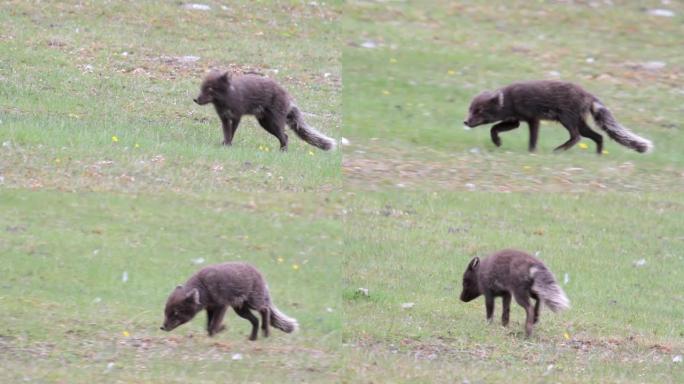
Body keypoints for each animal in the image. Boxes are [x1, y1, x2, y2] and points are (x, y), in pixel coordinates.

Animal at [162, 262, 300, 340]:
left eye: (176, 313)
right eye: (165, 312)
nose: (162, 327)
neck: (204, 287)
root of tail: (258, 272)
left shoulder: (221, 306)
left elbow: (213, 325)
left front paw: (216, 333)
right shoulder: (210, 308)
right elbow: (208, 326)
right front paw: (218, 331)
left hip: (253, 302)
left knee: (265, 310)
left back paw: (265, 332)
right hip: (241, 310)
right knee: (255, 320)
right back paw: (252, 338)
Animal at [194, 71, 336, 151]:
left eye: (210, 89)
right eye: (202, 88)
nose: (195, 99)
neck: (227, 97)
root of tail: (288, 97)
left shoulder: (236, 117)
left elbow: (231, 133)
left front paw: (228, 145)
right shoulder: (224, 118)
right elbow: (226, 132)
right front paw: (225, 144)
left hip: (274, 122)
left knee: (285, 136)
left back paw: (283, 152)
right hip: (266, 123)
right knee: (285, 136)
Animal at [464, 80, 652, 154]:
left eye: (479, 111)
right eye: (470, 109)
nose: (465, 121)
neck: (509, 99)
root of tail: (587, 94)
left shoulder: (533, 119)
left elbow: (533, 138)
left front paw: (531, 152)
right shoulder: (514, 121)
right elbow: (493, 128)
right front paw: (497, 142)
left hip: (567, 119)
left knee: (576, 137)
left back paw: (558, 150)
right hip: (580, 122)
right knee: (598, 136)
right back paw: (597, 155)